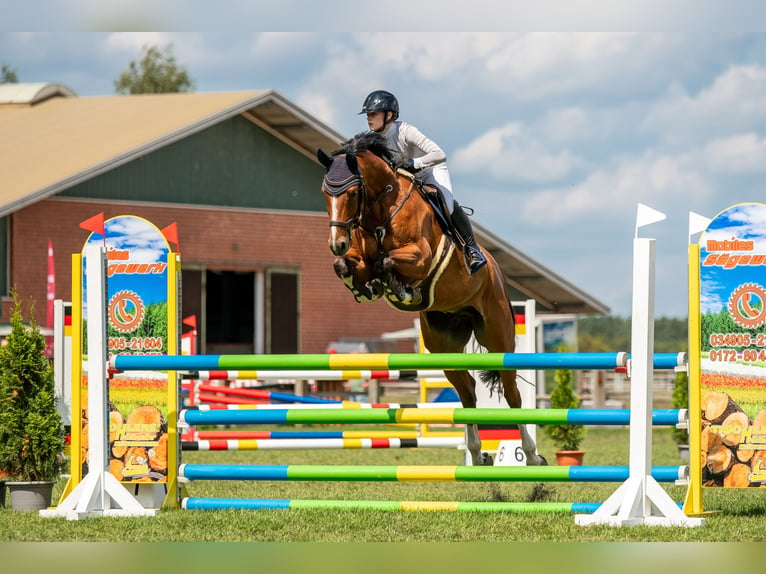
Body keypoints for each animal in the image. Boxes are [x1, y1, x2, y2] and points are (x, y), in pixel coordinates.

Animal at [316, 133, 544, 470]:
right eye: (325, 192)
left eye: (353, 192)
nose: (337, 243)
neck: (382, 210)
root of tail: (496, 272)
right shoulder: (358, 258)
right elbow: (346, 266)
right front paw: (368, 287)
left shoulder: (420, 256)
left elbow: (386, 261)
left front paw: (399, 288)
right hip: (444, 344)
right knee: (468, 392)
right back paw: (477, 454)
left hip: (498, 335)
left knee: (512, 393)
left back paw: (530, 454)